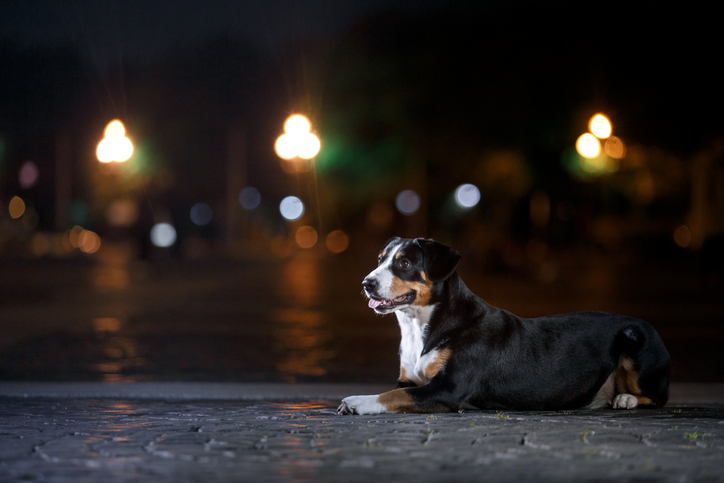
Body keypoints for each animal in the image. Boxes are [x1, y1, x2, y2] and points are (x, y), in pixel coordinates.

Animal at [336, 238, 672, 416]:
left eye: (404, 263)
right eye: (380, 259)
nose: (367, 283)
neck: (421, 326)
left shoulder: (449, 388)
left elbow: (391, 396)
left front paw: (357, 401)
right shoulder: (409, 379)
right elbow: (396, 390)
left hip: (636, 340)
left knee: (658, 396)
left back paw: (625, 398)